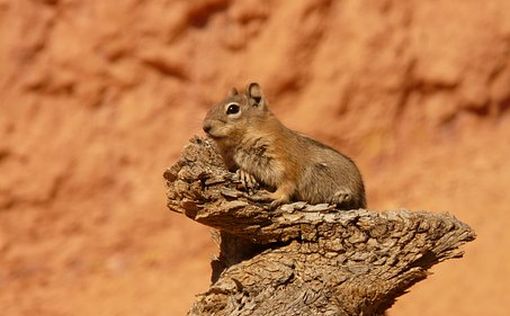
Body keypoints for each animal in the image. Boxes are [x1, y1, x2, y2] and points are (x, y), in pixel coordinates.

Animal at [201, 82, 364, 209]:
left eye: (233, 109)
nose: (205, 127)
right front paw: (244, 173)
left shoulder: (287, 163)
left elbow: (287, 184)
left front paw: (274, 196)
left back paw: (343, 197)